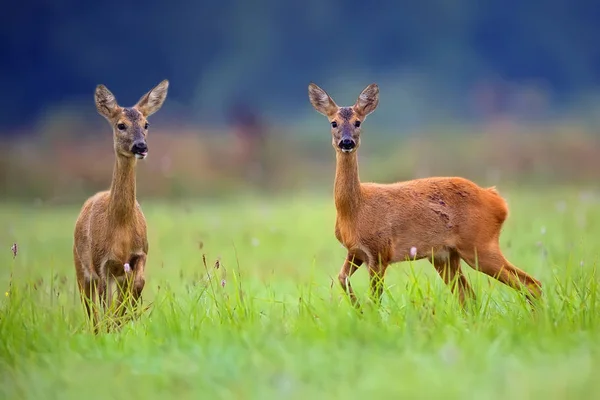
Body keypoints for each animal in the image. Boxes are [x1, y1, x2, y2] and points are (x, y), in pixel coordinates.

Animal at [74, 79, 170, 332]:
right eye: (121, 125)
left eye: (146, 124)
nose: (140, 146)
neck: (121, 229)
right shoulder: (101, 263)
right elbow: (103, 302)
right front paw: (113, 324)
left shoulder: (140, 252)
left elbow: (138, 284)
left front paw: (124, 319)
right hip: (80, 265)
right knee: (90, 306)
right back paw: (98, 330)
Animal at [310, 83, 544, 310]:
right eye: (333, 123)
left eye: (358, 122)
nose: (347, 142)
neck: (355, 210)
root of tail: (497, 200)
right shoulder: (355, 252)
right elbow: (342, 279)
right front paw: (357, 309)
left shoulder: (380, 252)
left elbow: (374, 300)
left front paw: (366, 314)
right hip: (445, 256)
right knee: (469, 297)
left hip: (480, 245)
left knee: (531, 284)